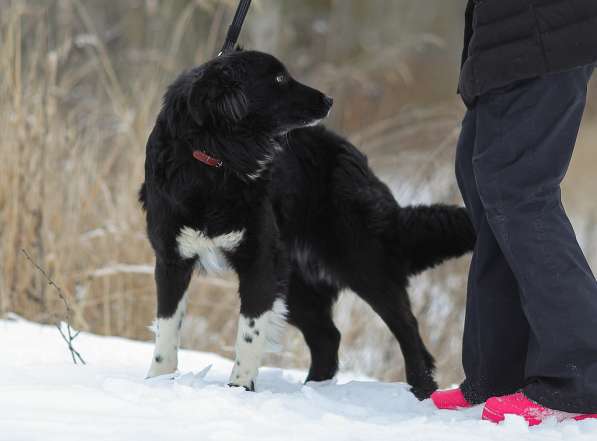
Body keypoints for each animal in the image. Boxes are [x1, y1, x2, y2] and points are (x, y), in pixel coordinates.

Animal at [140, 49, 474, 398]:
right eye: (278, 79)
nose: (328, 99)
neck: (213, 161)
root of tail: (355, 158)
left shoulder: (260, 261)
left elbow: (249, 333)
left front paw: (239, 389)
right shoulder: (172, 259)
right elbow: (167, 326)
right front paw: (158, 381)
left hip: (362, 263)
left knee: (407, 328)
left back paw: (421, 389)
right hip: (296, 281)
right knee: (328, 336)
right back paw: (315, 390)